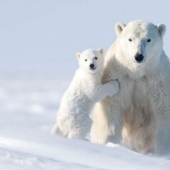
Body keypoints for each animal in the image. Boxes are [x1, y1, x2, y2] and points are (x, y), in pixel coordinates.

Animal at [91, 20, 170, 157]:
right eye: (130, 39)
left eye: (148, 39)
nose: (138, 56)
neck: (136, 72)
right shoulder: (118, 77)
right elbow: (112, 107)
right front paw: (111, 143)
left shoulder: (157, 80)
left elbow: (163, 111)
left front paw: (162, 154)